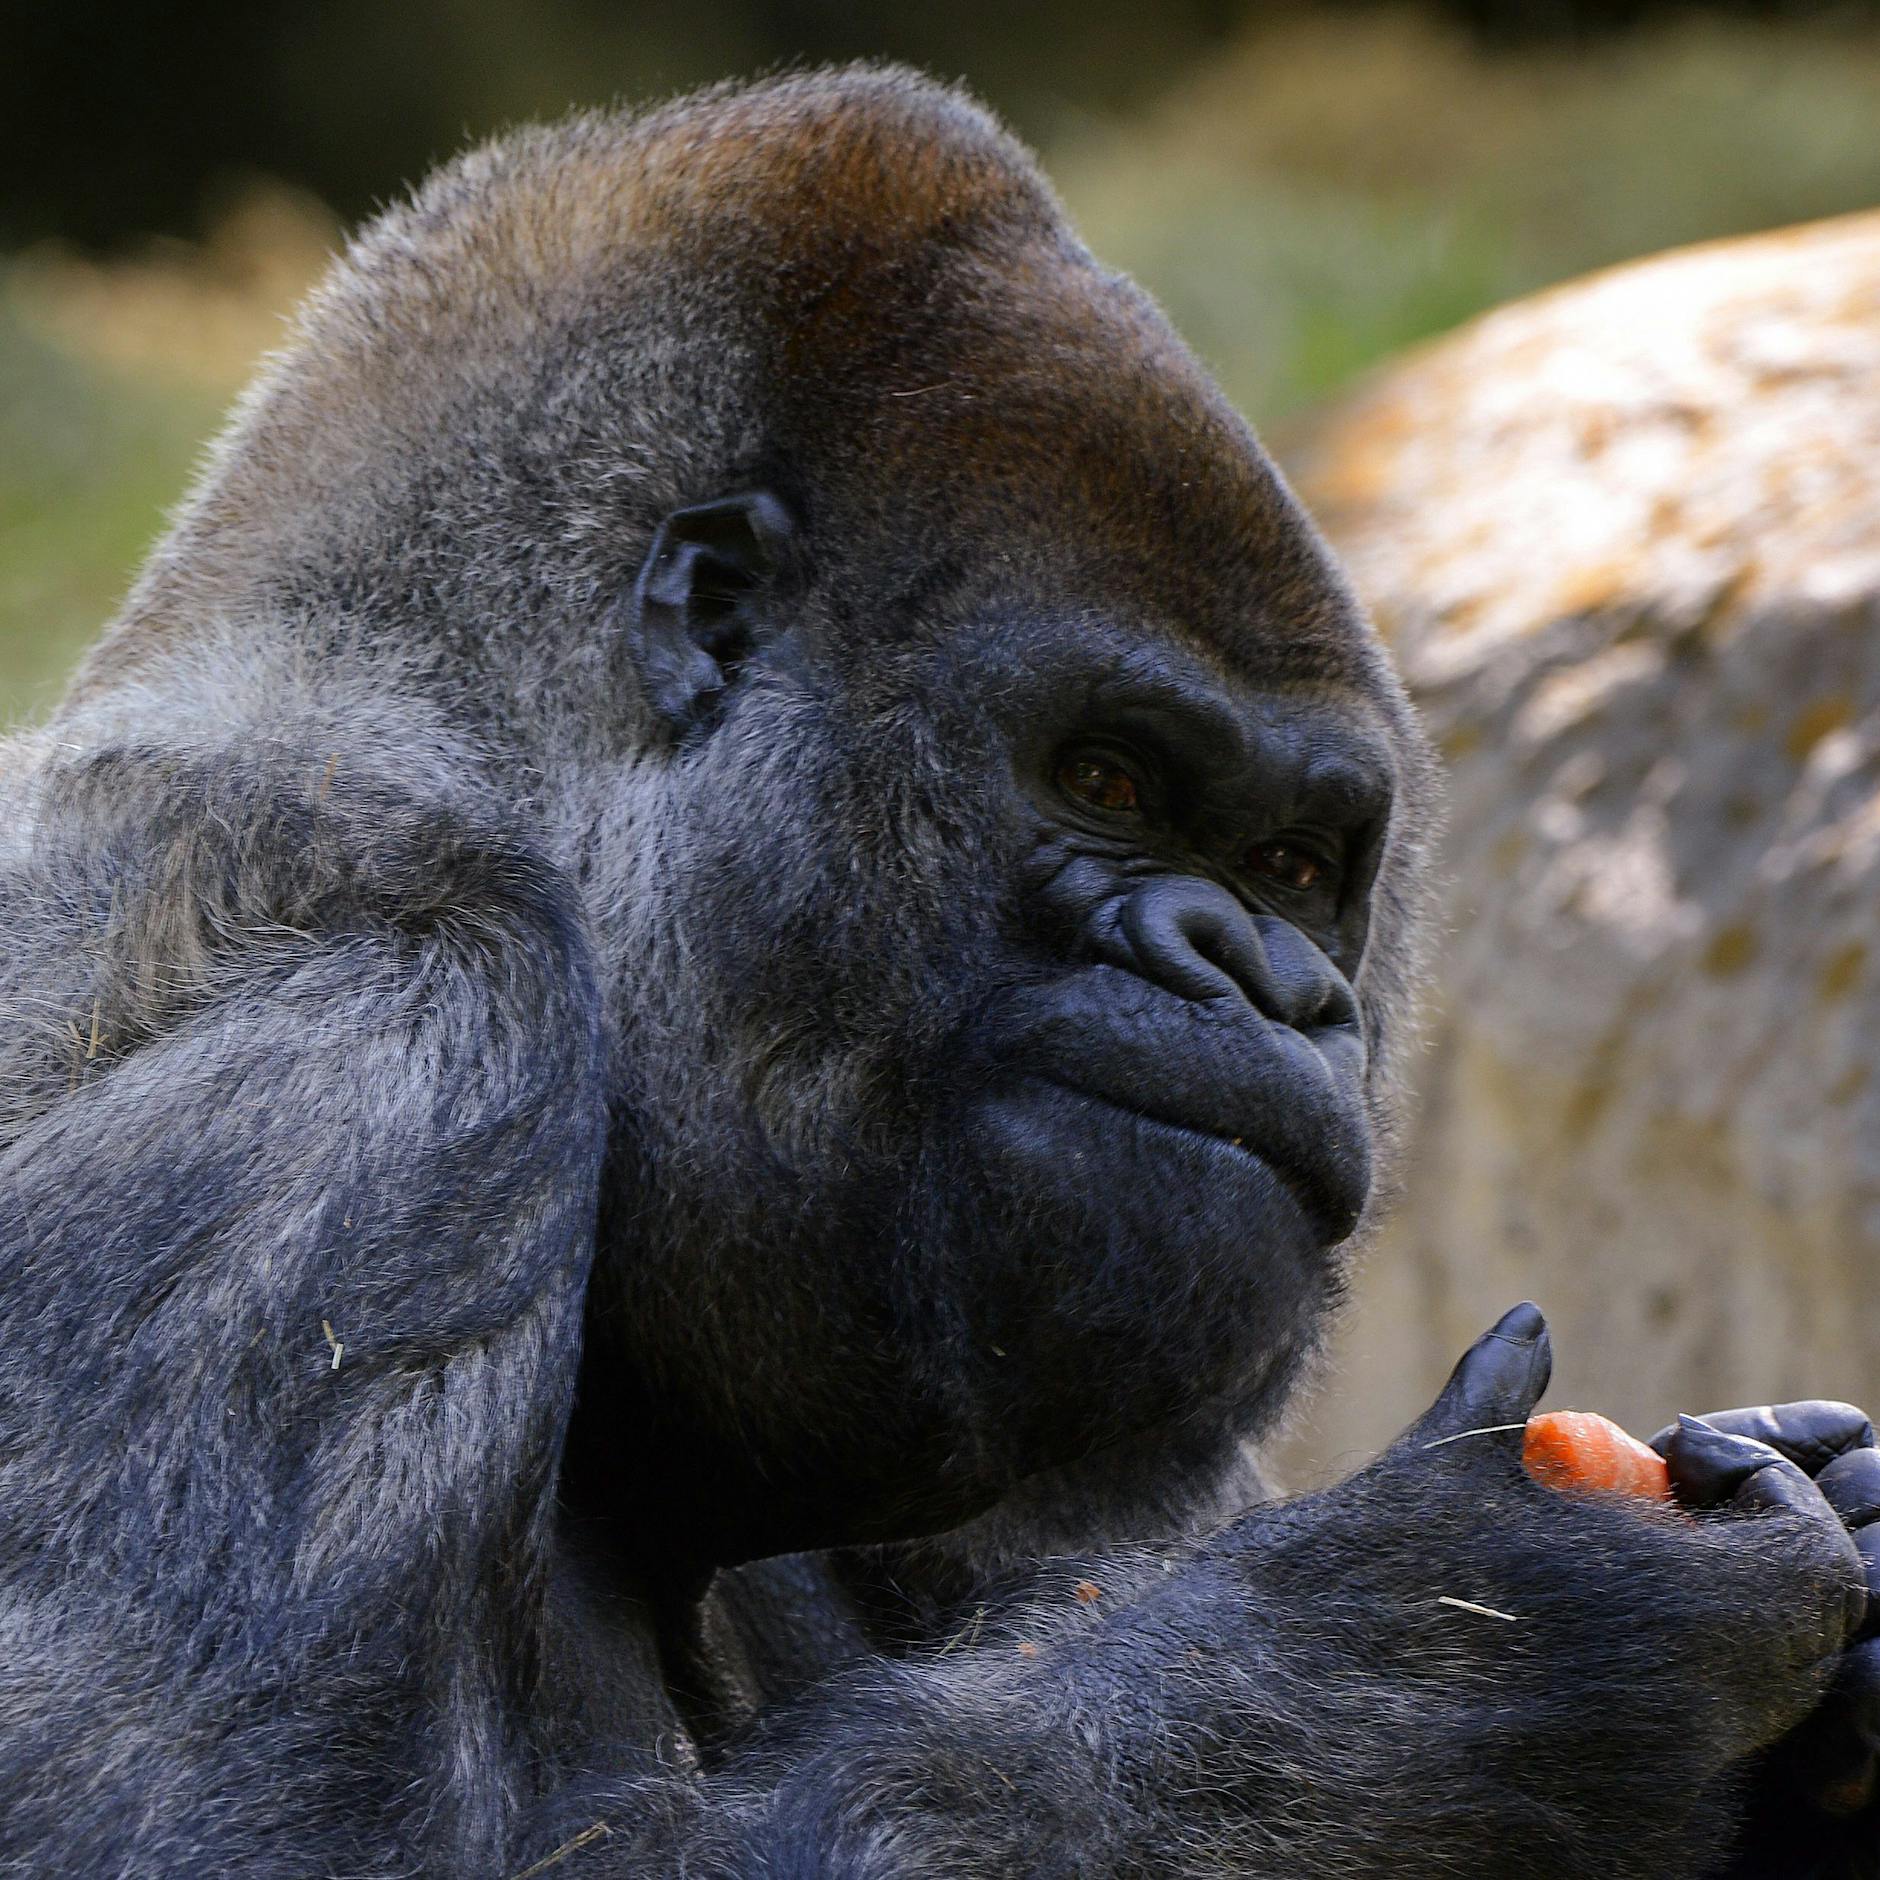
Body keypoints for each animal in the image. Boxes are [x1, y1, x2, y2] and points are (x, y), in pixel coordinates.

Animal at [0, 65, 1875, 1879]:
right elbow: (221, 1843)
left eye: (1296, 869)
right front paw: (1459, 1663)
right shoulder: (368, 1044)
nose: (1269, 980)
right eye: (1107, 777)